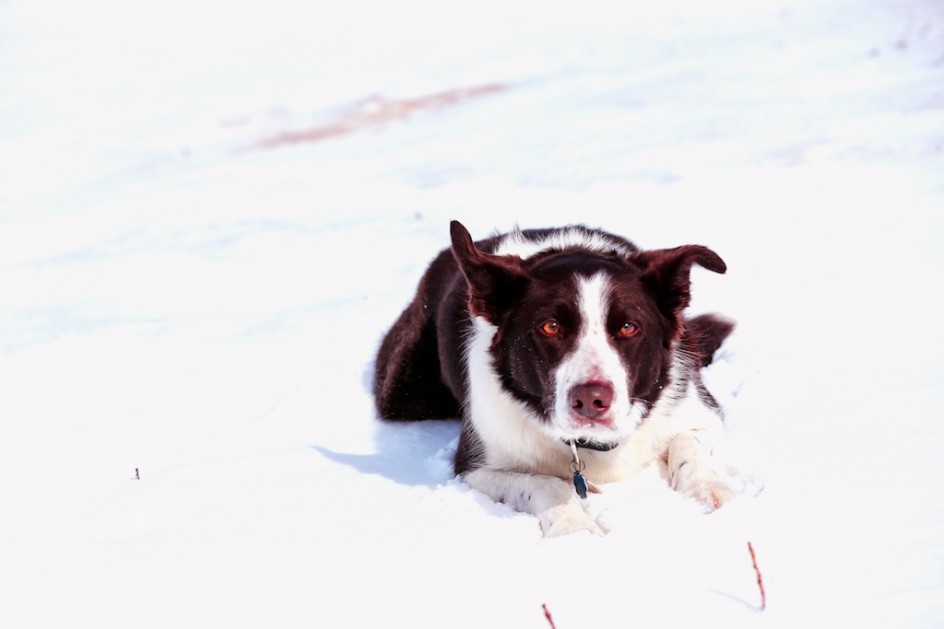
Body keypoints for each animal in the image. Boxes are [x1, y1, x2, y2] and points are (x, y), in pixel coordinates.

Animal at [374, 221, 736, 536]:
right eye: (550, 326)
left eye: (628, 327)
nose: (591, 399)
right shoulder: (476, 466)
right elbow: (546, 483)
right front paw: (573, 528)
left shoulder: (700, 412)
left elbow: (687, 442)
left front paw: (709, 490)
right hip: (403, 390)